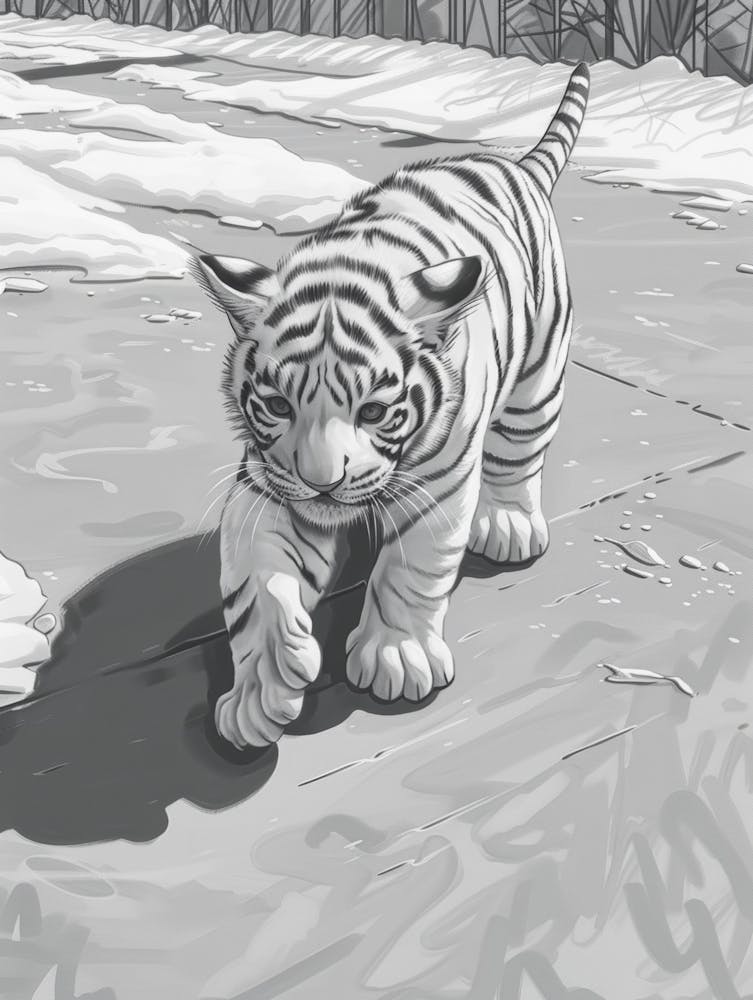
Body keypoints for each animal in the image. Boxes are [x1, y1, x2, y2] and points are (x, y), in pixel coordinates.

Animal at [192, 63, 590, 749]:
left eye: (374, 413)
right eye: (276, 404)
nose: (323, 483)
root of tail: (513, 162)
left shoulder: (441, 479)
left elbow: (412, 568)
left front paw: (395, 658)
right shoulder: (265, 484)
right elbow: (257, 580)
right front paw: (262, 685)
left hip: (538, 374)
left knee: (518, 453)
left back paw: (508, 526)